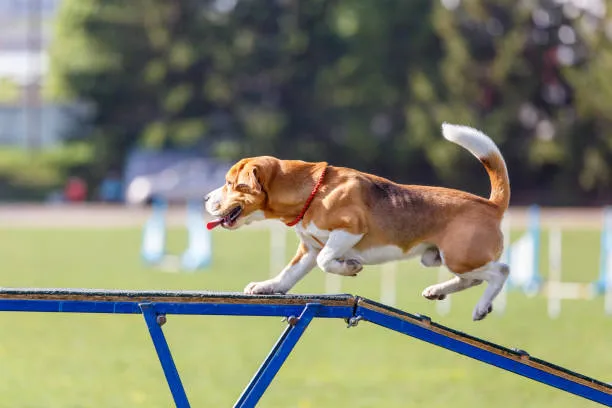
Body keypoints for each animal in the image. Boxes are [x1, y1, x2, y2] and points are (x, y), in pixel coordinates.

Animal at [207, 122, 512, 320]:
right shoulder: (310, 248)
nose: (205, 198)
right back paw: (437, 290)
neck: (314, 191)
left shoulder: (348, 230)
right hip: (439, 259)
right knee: (472, 279)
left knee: (500, 271)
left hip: (461, 256)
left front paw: (350, 266)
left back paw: (481, 308)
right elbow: (288, 274)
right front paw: (267, 287)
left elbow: (326, 261)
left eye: (230, 183)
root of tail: (491, 205)